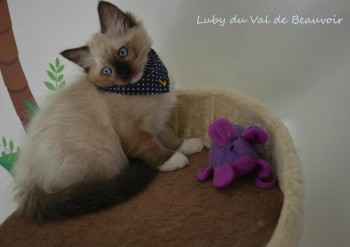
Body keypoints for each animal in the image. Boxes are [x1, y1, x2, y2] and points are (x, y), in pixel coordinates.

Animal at [13, 1, 202, 222]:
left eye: (123, 53)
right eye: (107, 72)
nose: (124, 74)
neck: (145, 86)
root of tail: (29, 187)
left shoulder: (159, 120)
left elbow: (170, 137)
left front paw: (186, 145)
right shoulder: (133, 131)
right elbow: (151, 146)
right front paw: (171, 159)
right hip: (103, 149)